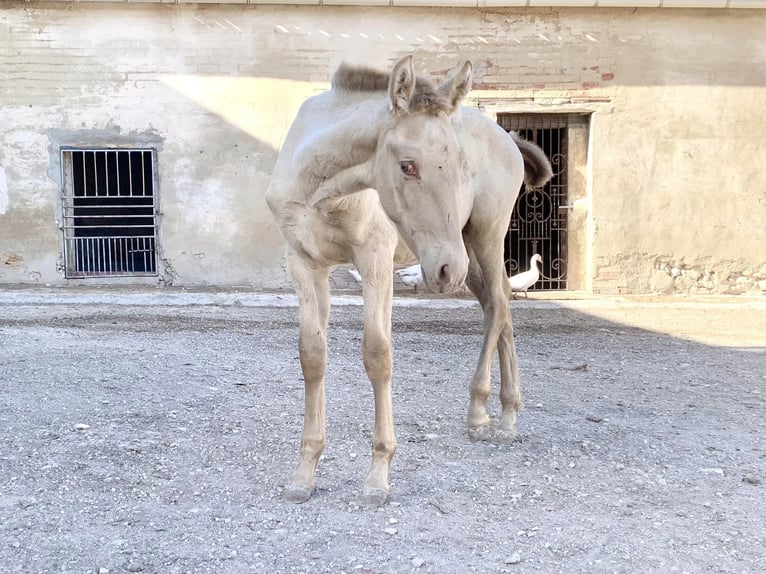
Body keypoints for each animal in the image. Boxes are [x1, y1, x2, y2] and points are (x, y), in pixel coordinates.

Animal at [268, 55, 552, 508]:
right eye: (407, 165)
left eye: (463, 166)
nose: (444, 269)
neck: (322, 190)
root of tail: (508, 138)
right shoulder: (305, 262)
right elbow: (312, 355)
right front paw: (303, 474)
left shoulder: (376, 259)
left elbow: (377, 355)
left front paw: (377, 476)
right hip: (464, 253)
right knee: (501, 304)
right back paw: (506, 414)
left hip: (480, 238)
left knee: (499, 304)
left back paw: (484, 414)